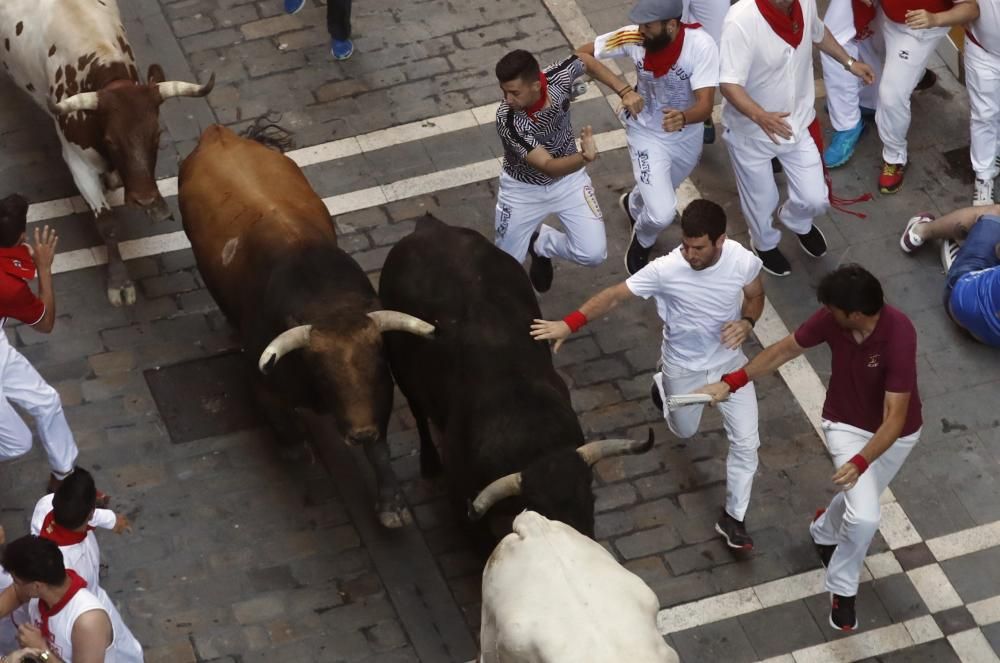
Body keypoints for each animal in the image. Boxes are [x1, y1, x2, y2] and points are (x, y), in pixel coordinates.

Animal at [177, 126, 434, 528]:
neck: (327, 303)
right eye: (324, 376)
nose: (360, 432)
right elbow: (284, 425)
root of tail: (219, 134)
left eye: (378, 368)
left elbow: (380, 449)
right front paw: (295, 450)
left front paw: (391, 504)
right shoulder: (263, 382)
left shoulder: (379, 400)